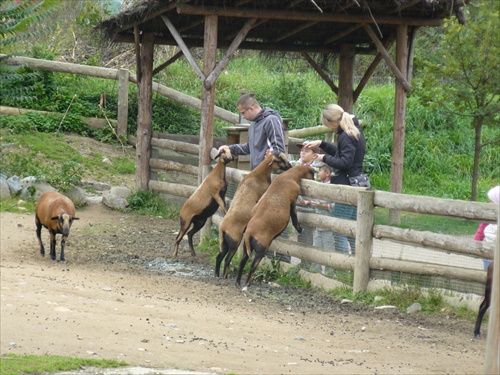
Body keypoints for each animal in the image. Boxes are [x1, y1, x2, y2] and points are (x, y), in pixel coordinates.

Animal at [215, 152, 292, 280]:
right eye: (281, 159)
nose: (290, 166)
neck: (258, 175)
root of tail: (222, 229)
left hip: (225, 243)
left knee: (219, 257)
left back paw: (217, 274)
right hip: (235, 242)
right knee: (227, 260)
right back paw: (225, 276)